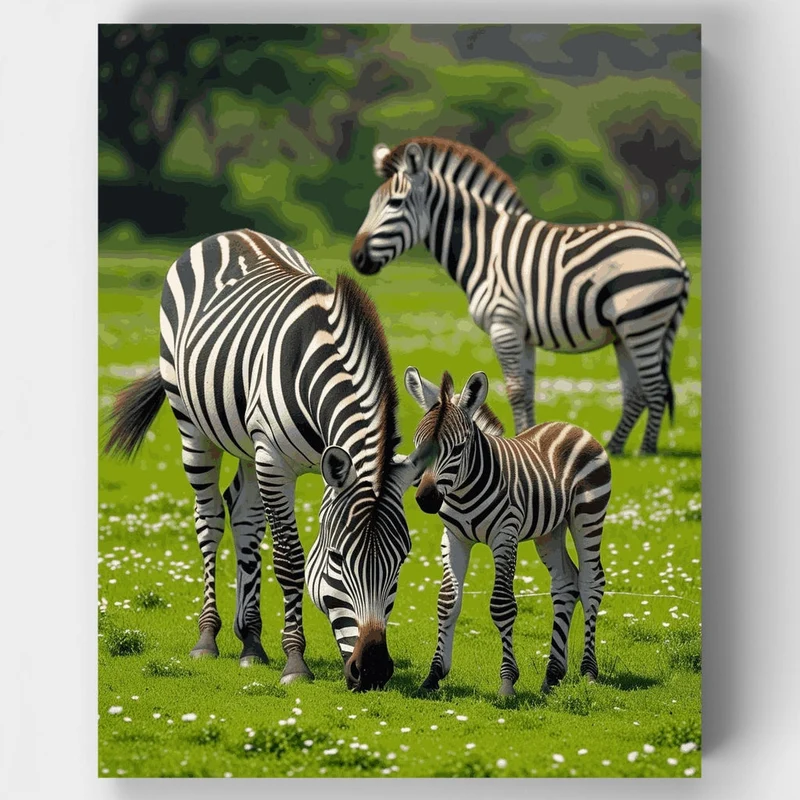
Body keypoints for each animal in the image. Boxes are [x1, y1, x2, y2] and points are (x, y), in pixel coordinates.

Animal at [104, 229, 433, 691]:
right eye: (337, 559)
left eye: (401, 559)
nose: (371, 671)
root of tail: (231, 233)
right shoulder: (274, 462)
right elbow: (290, 560)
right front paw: (295, 662)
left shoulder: (287, 461)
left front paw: (268, 647)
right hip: (193, 425)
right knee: (210, 519)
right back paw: (207, 638)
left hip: (247, 442)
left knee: (243, 516)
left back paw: (251, 642)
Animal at [351, 137, 691, 455]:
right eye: (371, 203)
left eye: (396, 203)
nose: (356, 258)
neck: (483, 247)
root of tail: (674, 252)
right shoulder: (522, 333)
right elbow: (526, 390)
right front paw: (528, 438)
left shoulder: (504, 323)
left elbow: (514, 389)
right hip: (626, 332)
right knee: (636, 391)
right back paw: (615, 448)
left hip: (640, 323)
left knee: (654, 387)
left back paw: (647, 451)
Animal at [405, 366, 611, 697]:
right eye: (417, 445)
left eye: (459, 448)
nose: (426, 499)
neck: (462, 492)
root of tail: (569, 425)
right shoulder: (454, 538)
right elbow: (447, 601)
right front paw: (434, 674)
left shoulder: (505, 534)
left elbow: (502, 605)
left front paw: (507, 681)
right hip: (550, 530)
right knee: (566, 583)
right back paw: (553, 675)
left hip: (588, 514)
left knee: (591, 582)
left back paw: (589, 672)